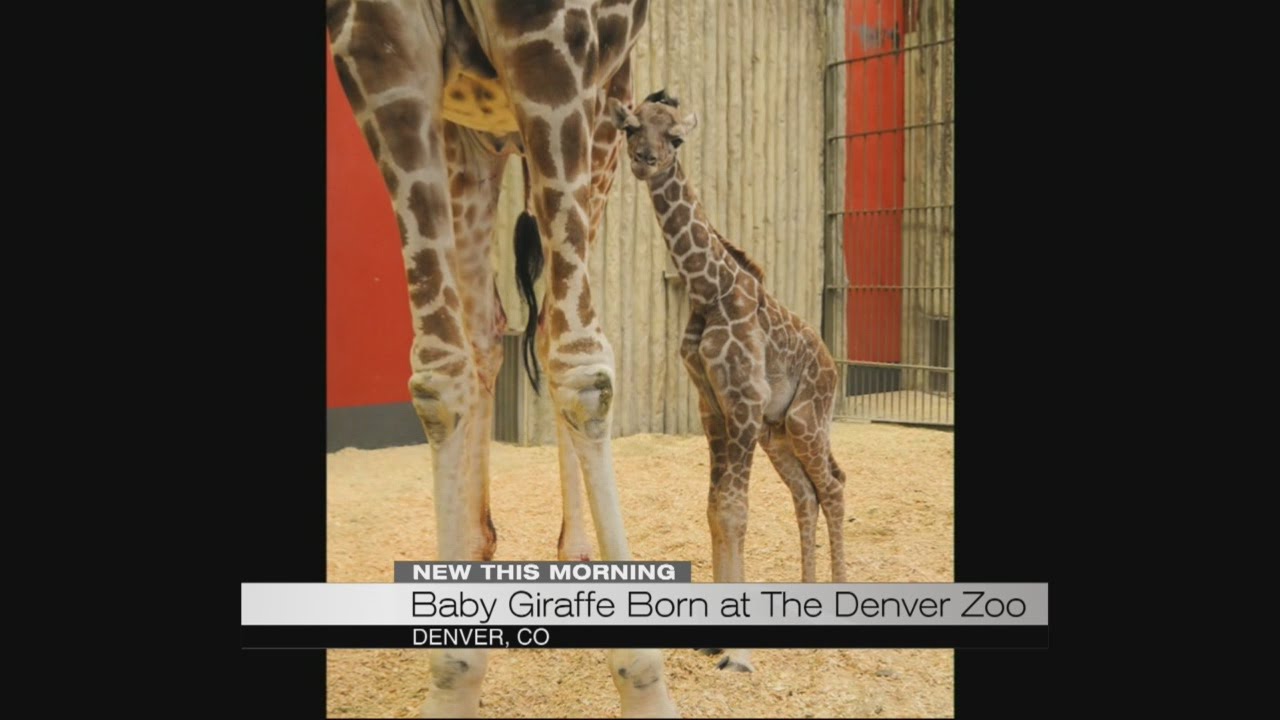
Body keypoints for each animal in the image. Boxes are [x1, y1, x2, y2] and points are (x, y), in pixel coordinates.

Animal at [326, 1, 678, 717]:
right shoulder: (375, 45)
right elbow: (437, 374)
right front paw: (453, 677)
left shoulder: (559, 50)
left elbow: (579, 361)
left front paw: (645, 687)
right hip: (478, 146)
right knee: (493, 329)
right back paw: (483, 547)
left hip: (586, 125)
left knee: (551, 332)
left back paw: (576, 555)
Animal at [609, 90, 849, 674]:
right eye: (630, 128)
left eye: (675, 138)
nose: (646, 160)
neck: (707, 288)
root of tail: (834, 366)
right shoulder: (712, 406)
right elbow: (714, 509)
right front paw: (713, 640)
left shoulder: (741, 401)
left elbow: (734, 512)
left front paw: (738, 655)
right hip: (777, 434)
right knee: (807, 494)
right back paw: (809, 597)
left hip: (807, 421)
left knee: (834, 487)